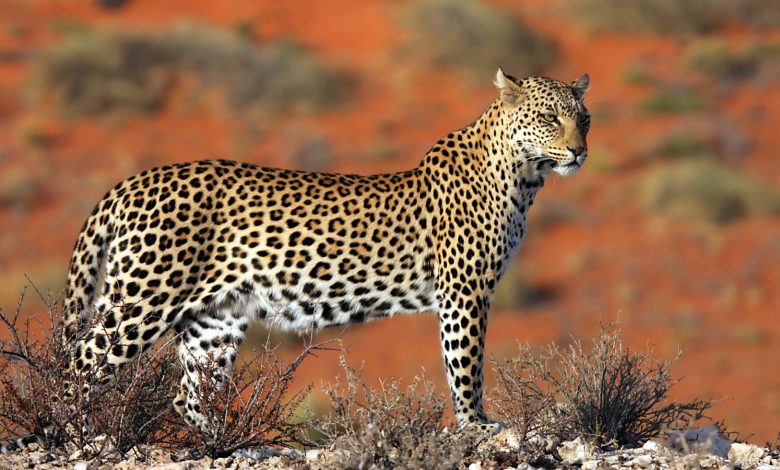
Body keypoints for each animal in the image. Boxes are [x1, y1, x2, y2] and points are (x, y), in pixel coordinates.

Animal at [58, 67, 588, 434]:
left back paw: (227, 442)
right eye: (549, 117)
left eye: (583, 118)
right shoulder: (464, 293)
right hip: (144, 298)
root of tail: (133, 180)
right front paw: (476, 425)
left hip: (215, 318)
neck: (524, 175)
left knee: (187, 395)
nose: (580, 151)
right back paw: (79, 438)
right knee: (78, 364)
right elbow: (466, 364)